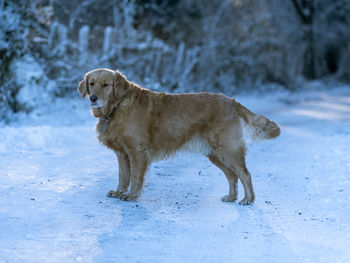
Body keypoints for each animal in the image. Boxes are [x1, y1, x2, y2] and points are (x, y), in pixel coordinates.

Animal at [78, 68, 280, 206]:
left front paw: (132, 195)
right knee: (232, 175)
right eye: (91, 83)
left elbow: (135, 177)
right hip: (215, 154)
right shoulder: (122, 154)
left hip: (227, 149)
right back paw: (231, 197)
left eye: (106, 85)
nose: (93, 98)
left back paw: (248, 199)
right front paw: (119, 192)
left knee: (245, 174)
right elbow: (123, 176)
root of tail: (231, 101)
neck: (117, 107)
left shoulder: (137, 152)